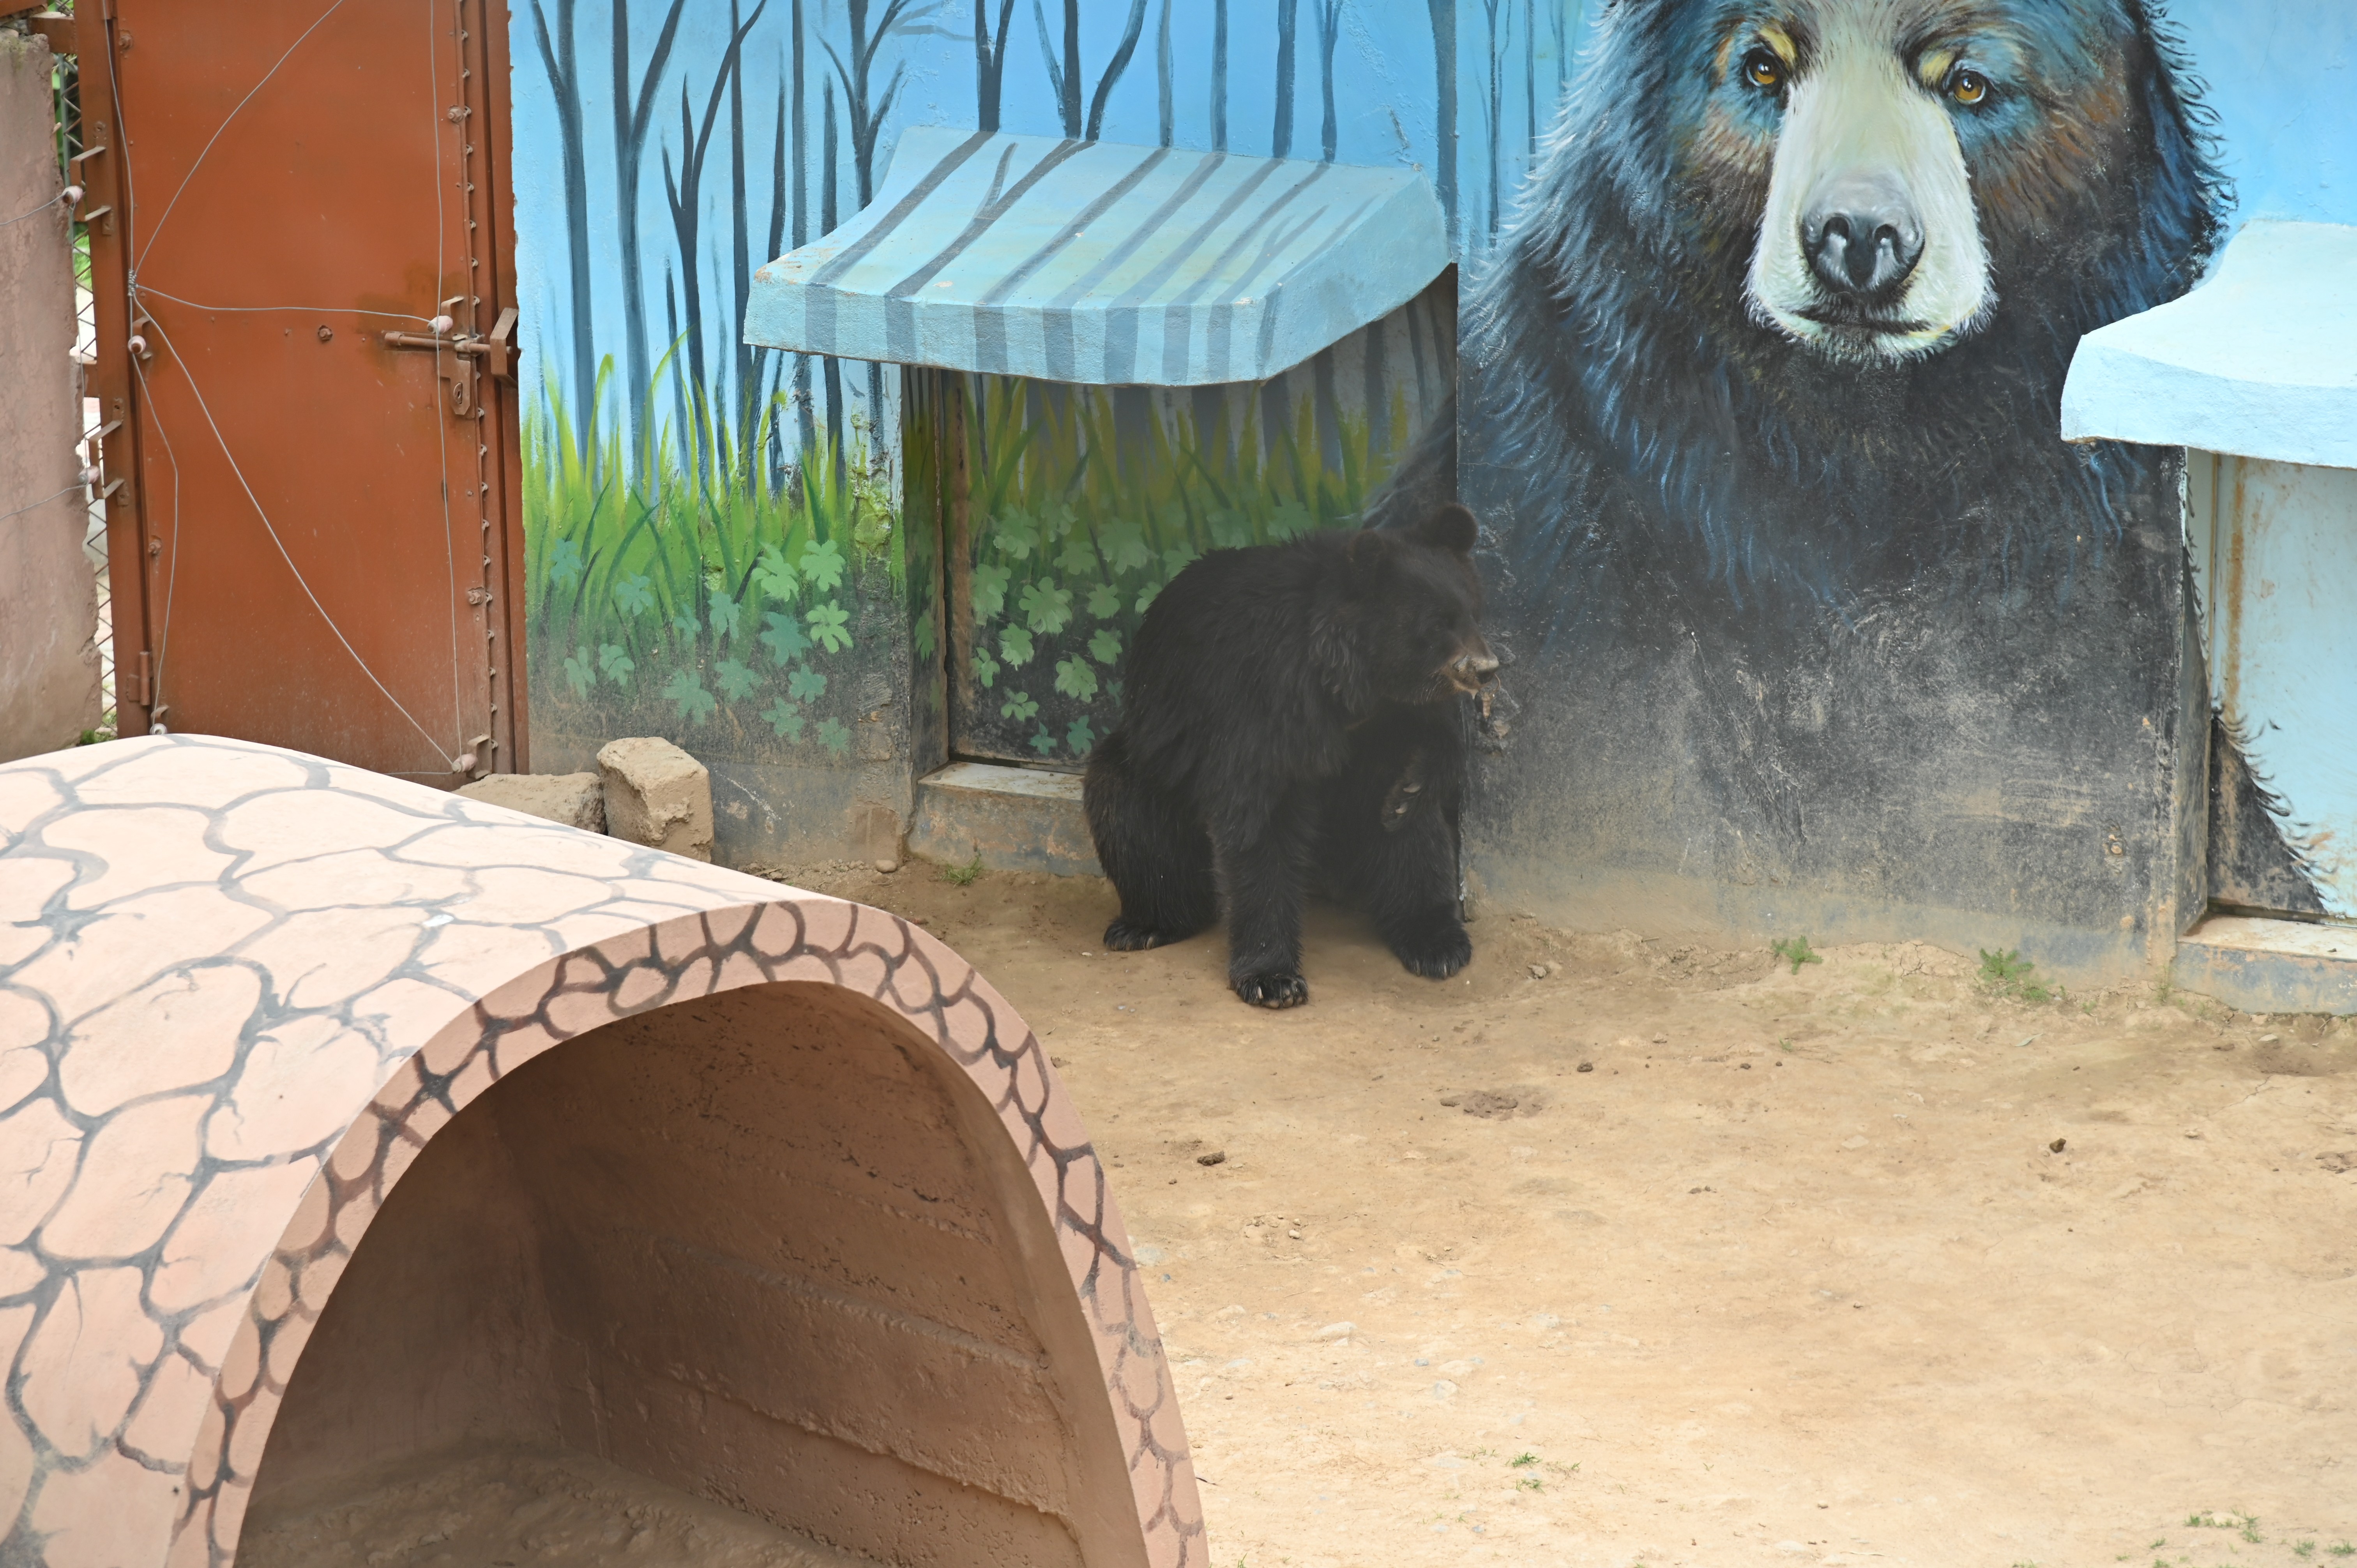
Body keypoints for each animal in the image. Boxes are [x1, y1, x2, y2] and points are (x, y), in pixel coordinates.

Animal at [1079, 507, 1489, 1009]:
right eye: (1435, 624)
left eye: (1472, 613)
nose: (1486, 668)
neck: (1350, 684)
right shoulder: (1263, 700)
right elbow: (1260, 820)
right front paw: (1273, 978)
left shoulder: (1388, 716)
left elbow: (1434, 751)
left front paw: (1412, 787)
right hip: (1152, 763)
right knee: (1126, 813)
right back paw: (1146, 924)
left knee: (1416, 840)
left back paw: (1437, 941)